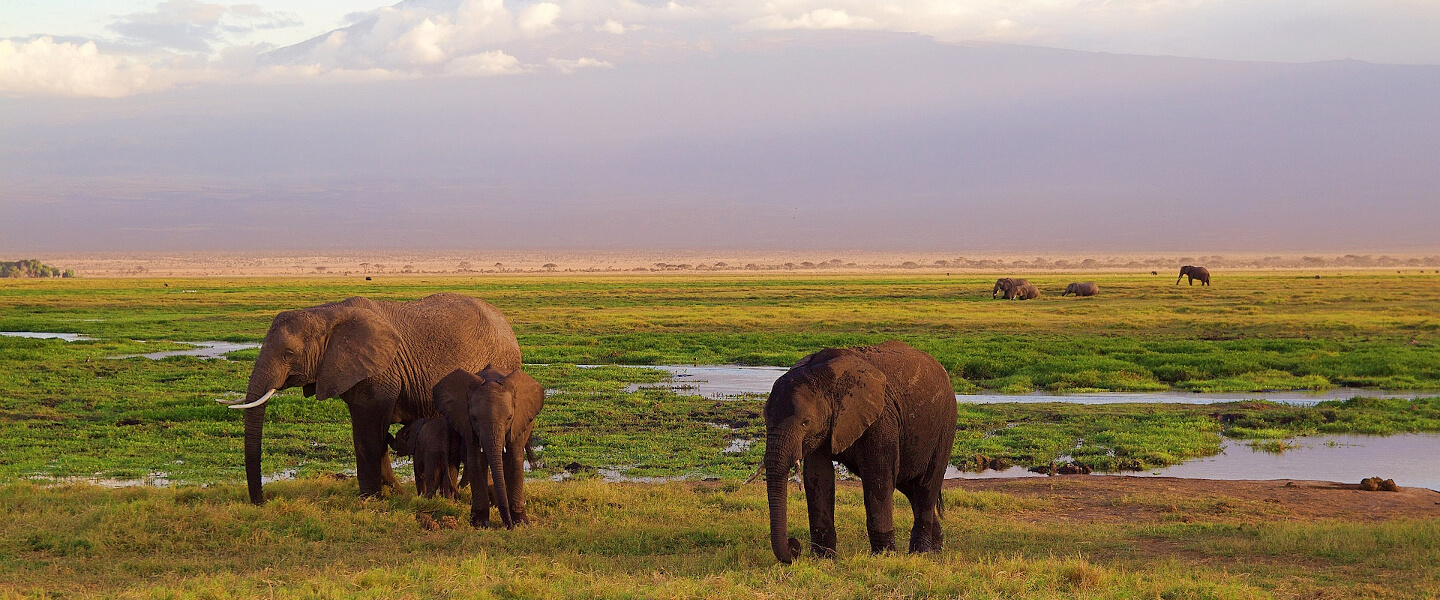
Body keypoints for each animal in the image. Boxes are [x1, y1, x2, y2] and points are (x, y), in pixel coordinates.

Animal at [216, 292, 521, 503]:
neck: (327, 313)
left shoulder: (379, 372)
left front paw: (369, 499)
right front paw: (392, 493)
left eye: (289, 354)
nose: (261, 502)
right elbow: (370, 433)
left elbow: (369, 431)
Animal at [432, 362, 544, 526]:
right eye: (474, 418)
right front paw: (479, 523)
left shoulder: (517, 422)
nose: (508, 526)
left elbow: (514, 462)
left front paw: (521, 523)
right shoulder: (468, 425)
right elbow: (476, 462)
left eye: (509, 418)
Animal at [766, 339, 956, 564]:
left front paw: (883, 557)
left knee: (926, 486)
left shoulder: (881, 417)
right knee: (910, 487)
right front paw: (823, 559)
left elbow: (878, 477)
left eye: (805, 422)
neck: (826, 376)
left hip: (945, 425)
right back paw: (936, 548)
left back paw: (922, 553)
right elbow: (818, 477)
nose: (795, 546)